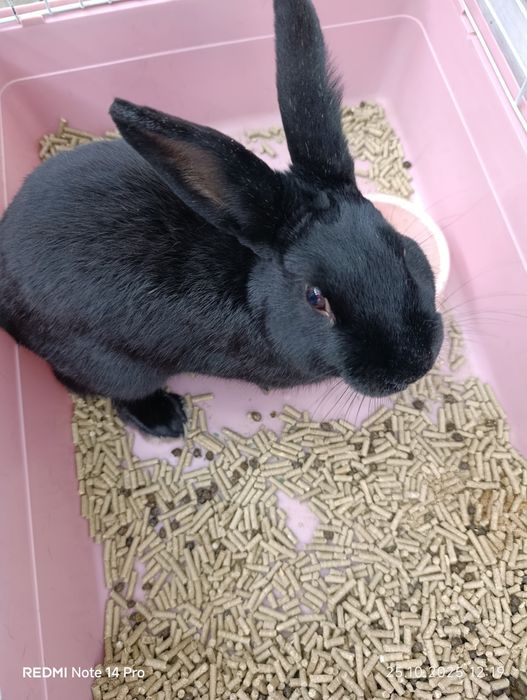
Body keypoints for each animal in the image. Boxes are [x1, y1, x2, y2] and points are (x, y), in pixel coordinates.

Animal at [0, 0, 443, 438]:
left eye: (401, 248)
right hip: (114, 365)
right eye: (315, 298)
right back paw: (166, 420)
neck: (254, 288)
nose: (412, 365)